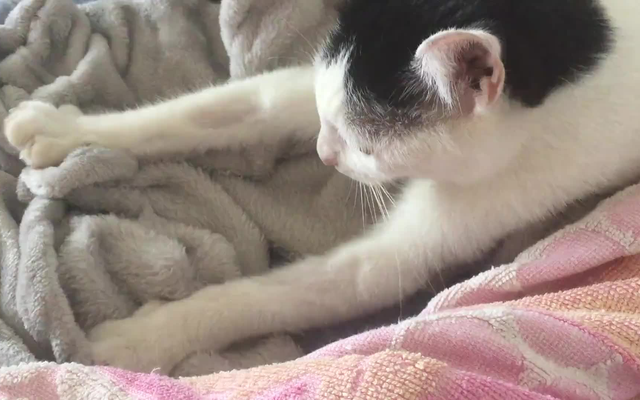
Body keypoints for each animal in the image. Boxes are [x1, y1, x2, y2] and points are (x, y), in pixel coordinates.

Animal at [4, 0, 640, 373]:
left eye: (365, 146)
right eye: (333, 128)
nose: (323, 153)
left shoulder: (505, 186)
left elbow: (290, 292)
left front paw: (138, 340)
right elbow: (232, 106)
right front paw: (64, 129)